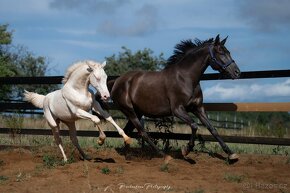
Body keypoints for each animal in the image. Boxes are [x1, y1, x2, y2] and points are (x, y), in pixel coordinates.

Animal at [109, 34, 240, 161]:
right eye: (221, 52)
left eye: (228, 52)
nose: (237, 72)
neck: (185, 78)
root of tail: (117, 80)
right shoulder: (177, 110)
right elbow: (194, 125)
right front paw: (186, 150)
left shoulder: (198, 108)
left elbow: (212, 129)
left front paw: (231, 154)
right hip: (129, 111)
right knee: (143, 133)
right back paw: (163, 155)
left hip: (137, 112)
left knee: (127, 131)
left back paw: (128, 156)